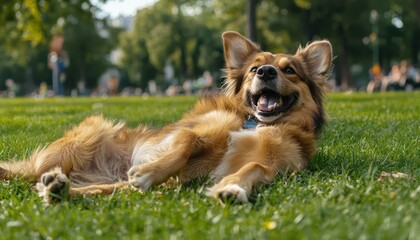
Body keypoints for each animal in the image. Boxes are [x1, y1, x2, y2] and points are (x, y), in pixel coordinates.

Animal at [0, 31, 334, 204]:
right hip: (85, 138)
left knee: (94, 191)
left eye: (289, 69)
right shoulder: (195, 129)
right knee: (29, 174)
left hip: (113, 183)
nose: (266, 72)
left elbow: (253, 167)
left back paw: (58, 189)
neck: (255, 123)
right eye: (254, 68)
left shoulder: (277, 167)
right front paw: (150, 170)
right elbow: (186, 142)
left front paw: (232, 189)